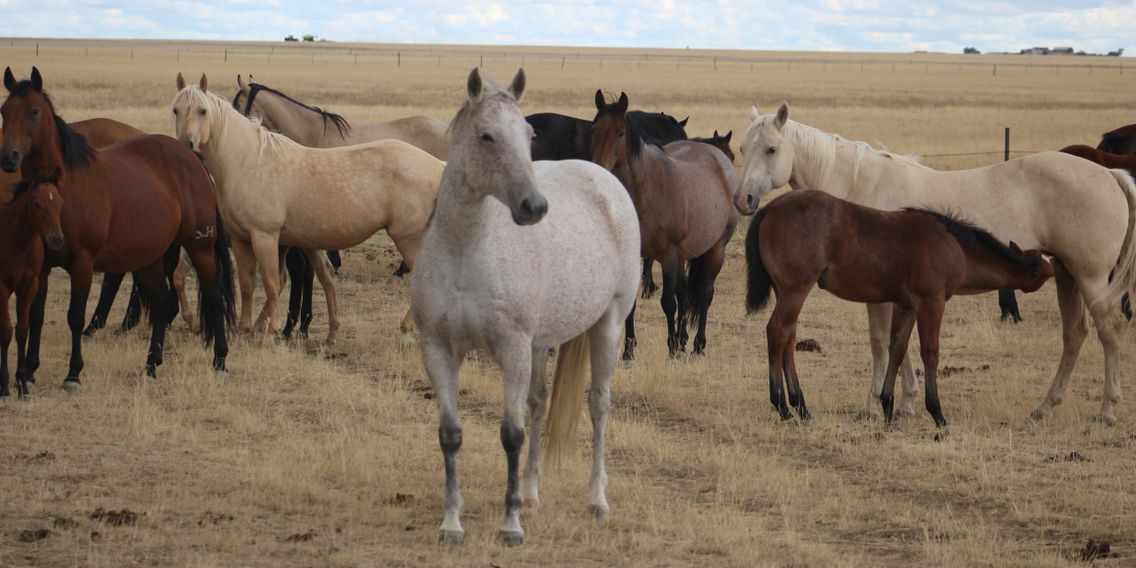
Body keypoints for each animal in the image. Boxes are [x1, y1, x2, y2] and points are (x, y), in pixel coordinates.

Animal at [0, 173, 62, 399]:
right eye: (37, 204)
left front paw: (22, 385)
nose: (57, 239)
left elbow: (22, 331)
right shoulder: (2, 288)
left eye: (60, 202)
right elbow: (6, 331)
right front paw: (4, 386)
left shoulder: (29, 287)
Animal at [173, 73, 443, 342]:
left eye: (203, 111)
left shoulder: (265, 237)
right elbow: (248, 286)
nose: (187, 145)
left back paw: (408, 325)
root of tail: (439, 165)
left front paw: (271, 331)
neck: (248, 160)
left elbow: (271, 284)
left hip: (408, 239)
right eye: (176, 110)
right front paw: (244, 331)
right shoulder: (241, 240)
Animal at [411, 68, 639, 546]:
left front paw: (510, 524)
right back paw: (532, 493)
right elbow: (451, 434)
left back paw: (596, 499)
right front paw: (451, 523)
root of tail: (604, 178)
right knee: (538, 402)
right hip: (540, 343)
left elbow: (511, 435)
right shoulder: (438, 349)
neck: (466, 249)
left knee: (599, 405)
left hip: (608, 326)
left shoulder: (512, 350)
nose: (534, 206)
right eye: (486, 135)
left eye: (529, 135)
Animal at [592, 91, 738, 360]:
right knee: (685, 292)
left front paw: (671, 349)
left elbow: (669, 302)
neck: (646, 191)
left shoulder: (669, 255)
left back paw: (697, 346)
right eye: (594, 130)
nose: (599, 168)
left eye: (620, 132)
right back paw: (683, 341)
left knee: (705, 294)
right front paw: (628, 352)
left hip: (716, 249)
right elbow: (634, 305)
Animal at [746, 189, 1054, 426]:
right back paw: (782, 407)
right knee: (777, 332)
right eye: (1042, 271)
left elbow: (897, 348)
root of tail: (770, 207)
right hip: (795, 291)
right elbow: (930, 353)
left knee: (788, 338)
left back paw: (801, 407)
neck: (953, 245)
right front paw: (937, 413)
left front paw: (888, 408)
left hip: (787, 292)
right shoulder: (931, 302)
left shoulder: (906, 305)